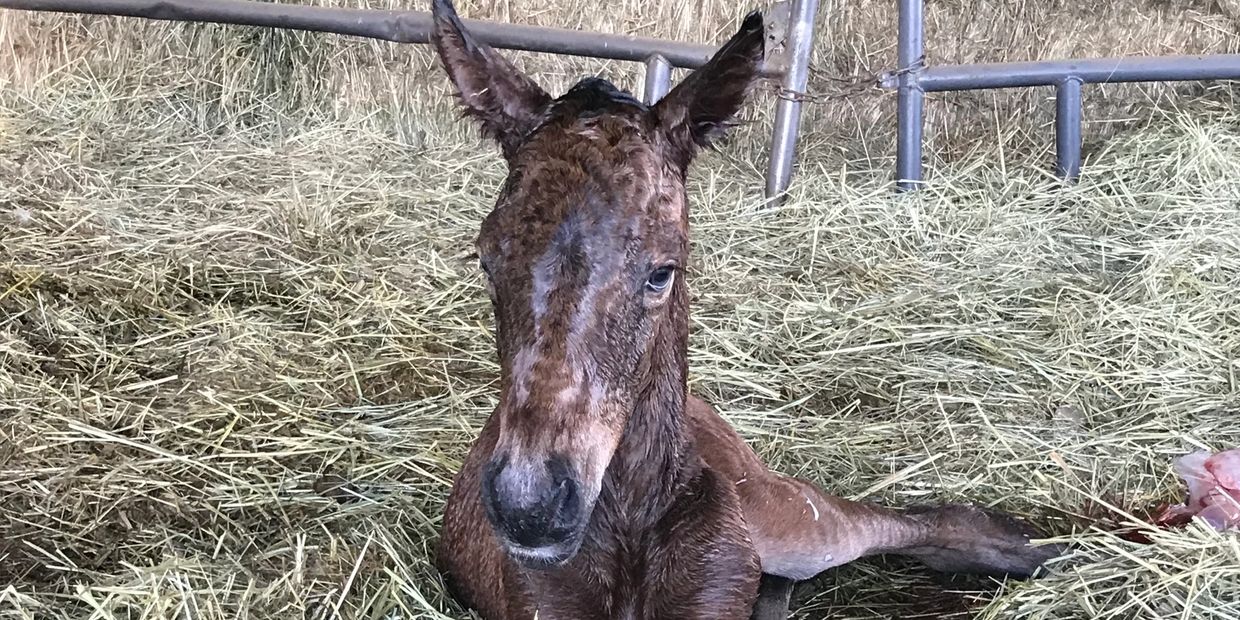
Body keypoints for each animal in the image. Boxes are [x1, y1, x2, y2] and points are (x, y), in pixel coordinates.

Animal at [428, 1, 1062, 617]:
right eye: (485, 260)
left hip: (789, 516)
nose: (529, 505)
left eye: (662, 272)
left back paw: (1029, 548)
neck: (632, 532)